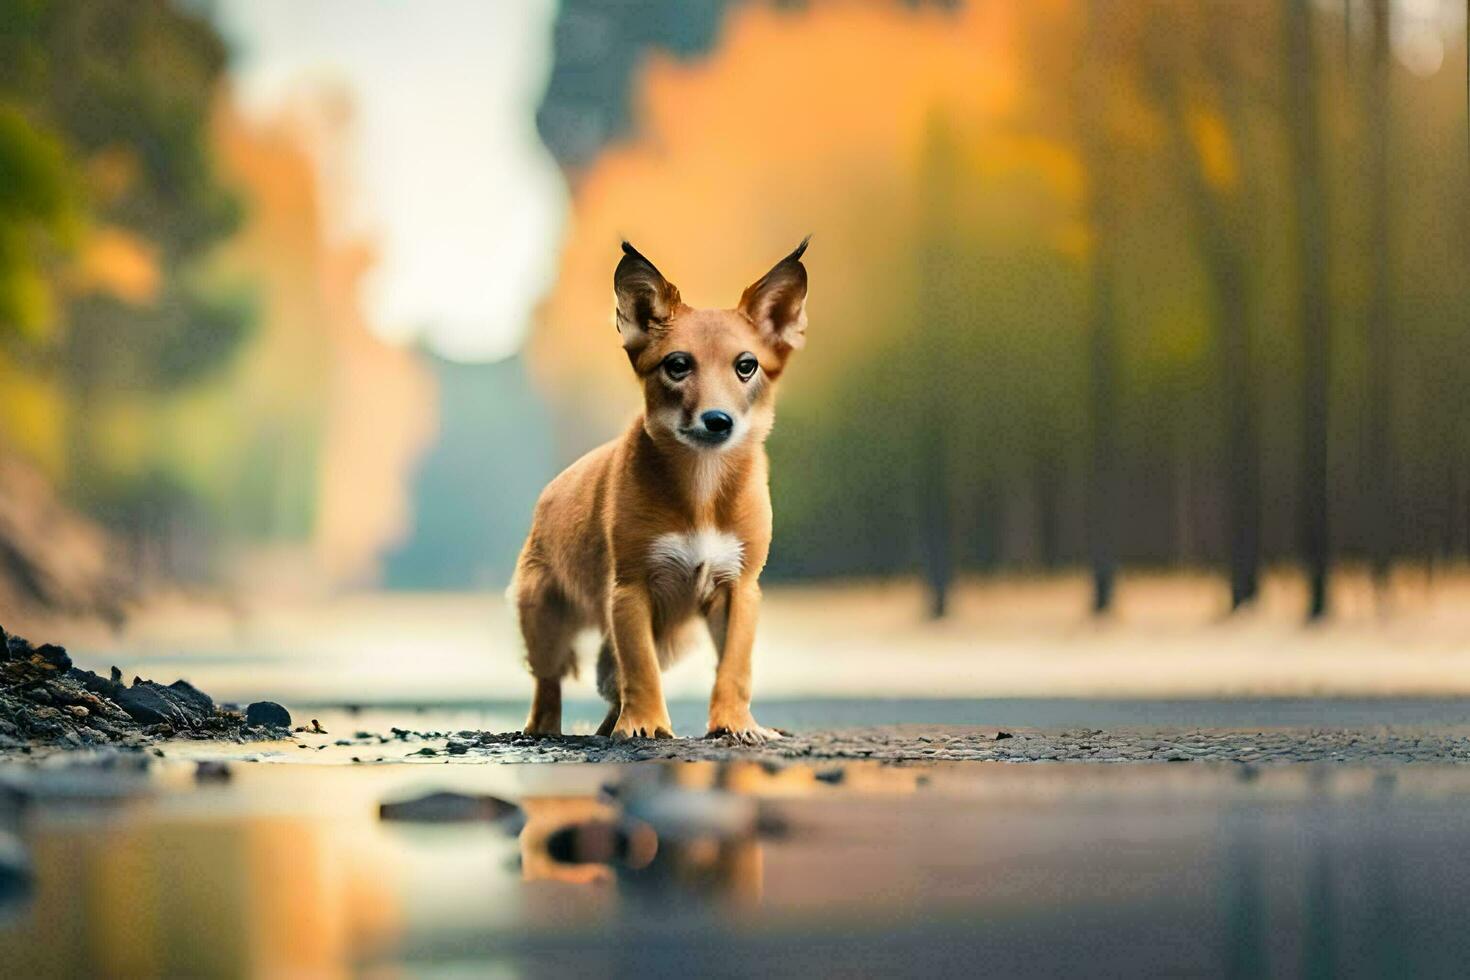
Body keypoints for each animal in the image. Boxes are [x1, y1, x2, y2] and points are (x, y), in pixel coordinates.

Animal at [511, 239, 811, 743]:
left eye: (746, 366)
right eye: (677, 365)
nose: (717, 420)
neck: (702, 486)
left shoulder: (740, 589)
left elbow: (734, 666)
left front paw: (735, 724)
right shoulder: (630, 591)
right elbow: (640, 667)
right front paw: (647, 725)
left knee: (611, 682)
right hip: (543, 620)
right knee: (550, 684)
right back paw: (546, 730)